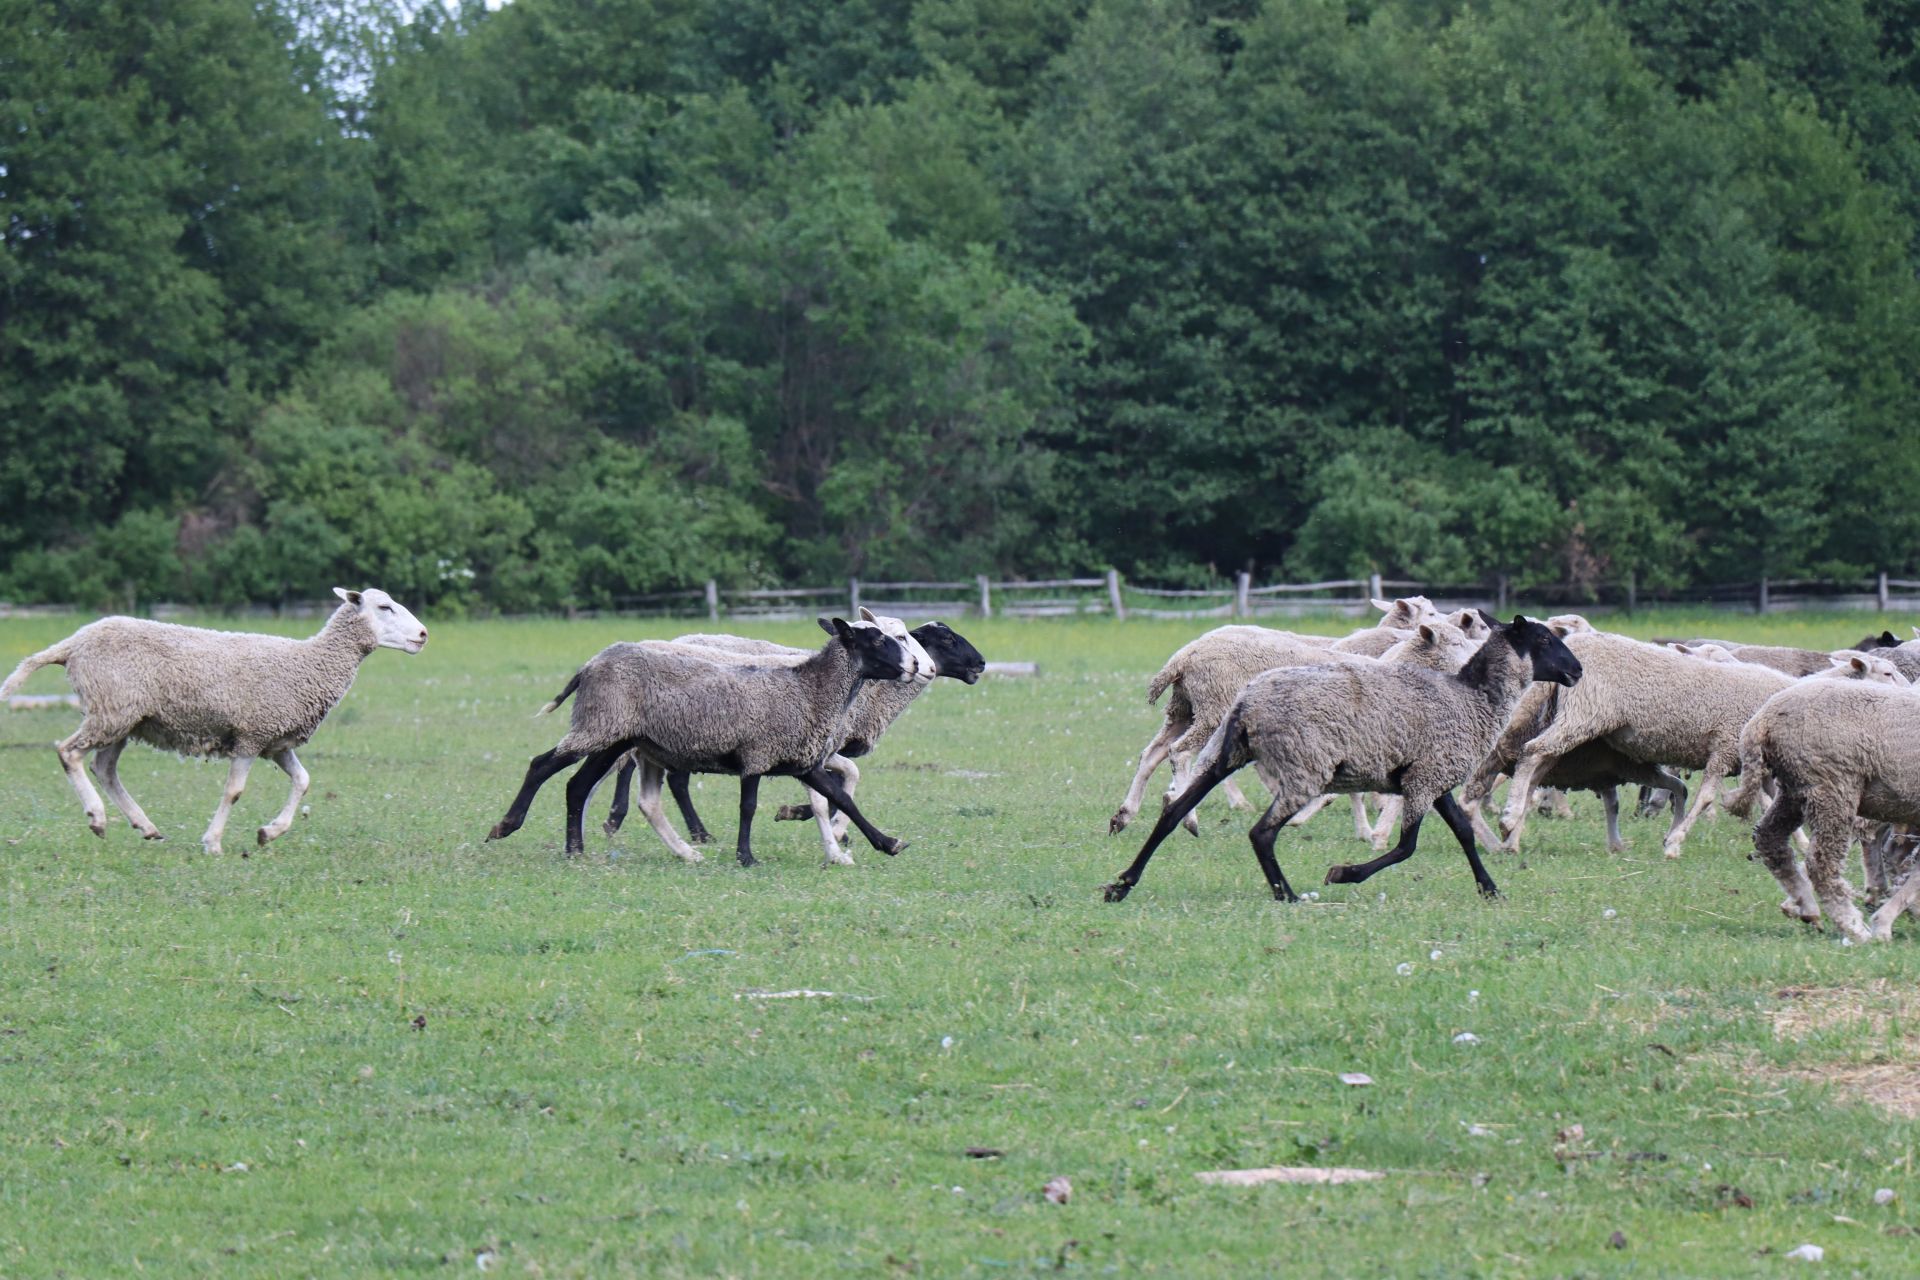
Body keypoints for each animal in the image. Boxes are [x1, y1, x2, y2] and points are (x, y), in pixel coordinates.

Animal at [0, 587, 428, 852]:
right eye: (384, 607)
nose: (423, 634)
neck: (310, 663)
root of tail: (73, 643)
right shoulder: (251, 736)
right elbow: (234, 791)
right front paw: (214, 842)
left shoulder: (275, 741)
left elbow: (304, 781)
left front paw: (268, 833)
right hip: (111, 709)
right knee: (68, 752)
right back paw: (97, 817)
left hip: (124, 716)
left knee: (104, 767)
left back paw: (145, 826)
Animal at [487, 617, 921, 867]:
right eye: (878, 641)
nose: (916, 665)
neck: (812, 689)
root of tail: (590, 664)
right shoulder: (757, 752)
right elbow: (748, 807)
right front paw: (746, 857)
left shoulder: (803, 761)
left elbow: (844, 799)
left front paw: (886, 842)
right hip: (599, 726)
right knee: (542, 765)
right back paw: (507, 826)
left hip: (614, 737)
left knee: (577, 786)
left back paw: (578, 850)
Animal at [1105, 617, 1582, 901]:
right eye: (1543, 638)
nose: (1577, 671)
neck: (1472, 698)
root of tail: (1247, 704)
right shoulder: (1425, 779)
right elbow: (1406, 847)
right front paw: (1343, 873)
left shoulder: (1430, 776)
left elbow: (1463, 833)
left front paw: (1489, 888)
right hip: (1303, 766)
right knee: (1261, 833)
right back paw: (1287, 895)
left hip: (1226, 753)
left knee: (1172, 809)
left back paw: (1123, 881)